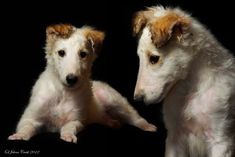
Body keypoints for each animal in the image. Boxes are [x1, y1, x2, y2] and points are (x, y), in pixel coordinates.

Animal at [8, 23, 156, 143]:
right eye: (61, 53)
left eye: (83, 54)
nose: (71, 79)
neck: (63, 93)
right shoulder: (28, 118)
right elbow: (26, 127)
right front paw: (19, 136)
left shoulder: (77, 121)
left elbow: (68, 126)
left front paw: (68, 136)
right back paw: (112, 122)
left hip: (115, 101)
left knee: (135, 118)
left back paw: (147, 126)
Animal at [133, 6, 234, 157]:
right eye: (139, 57)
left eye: (154, 58)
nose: (137, 99)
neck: (190, 89)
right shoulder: (174, 137)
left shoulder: (221, 140)